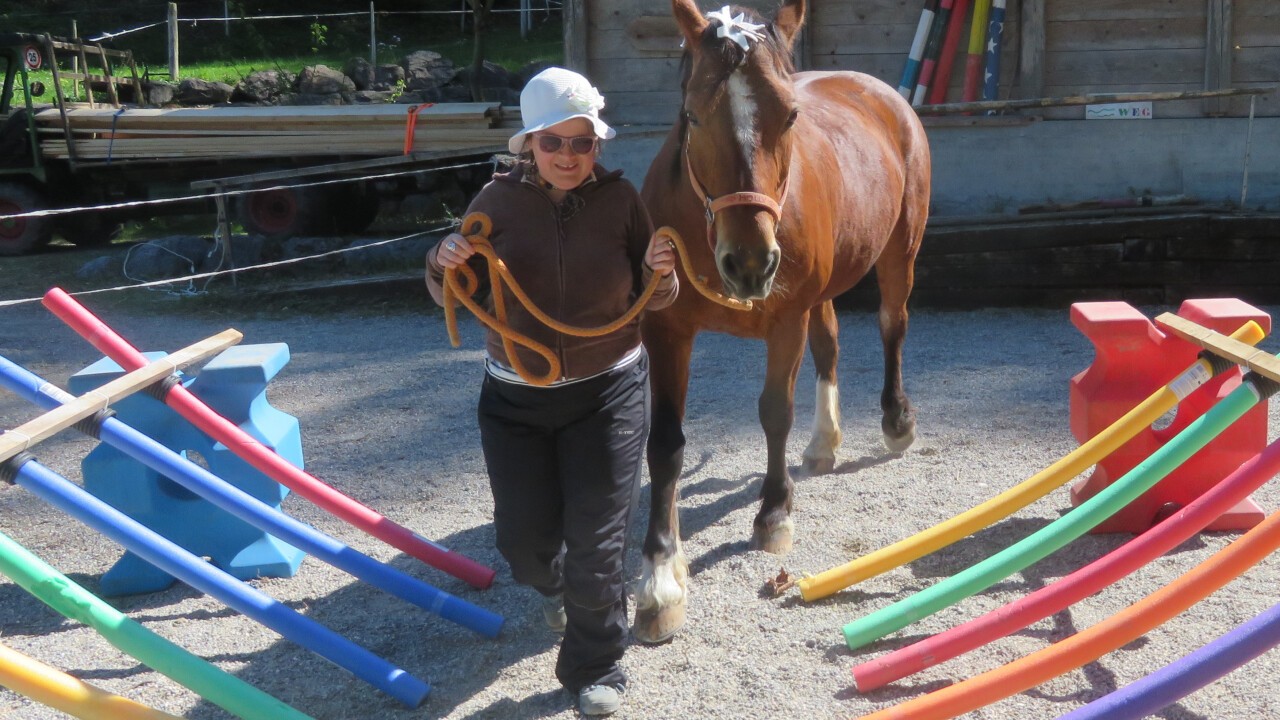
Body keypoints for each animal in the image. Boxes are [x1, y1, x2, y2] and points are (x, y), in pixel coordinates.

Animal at [637, 0, 931, 638]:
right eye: (691, 116)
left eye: (791, 115)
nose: (749, 261)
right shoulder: (667, 331)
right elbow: (665, 443)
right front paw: (660, 579)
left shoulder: (785, 321)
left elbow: (775, 412)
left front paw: (773, 514)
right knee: (830, 347)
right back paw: (824, 442)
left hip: (901, 249)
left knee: (892, 325)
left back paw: (896, 419)